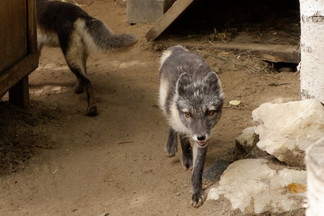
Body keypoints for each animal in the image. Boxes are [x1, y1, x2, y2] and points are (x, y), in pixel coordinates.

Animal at [158, 45, 224, 208]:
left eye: (210, 112)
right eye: (188, 114)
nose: (200, 136)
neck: (196, 82)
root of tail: (178, 49)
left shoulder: (204, 140)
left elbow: (198, 168)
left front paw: (196, 192)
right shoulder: (181, 123)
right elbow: (182, 138)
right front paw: (187, 156)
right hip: (164, 103)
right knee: (171, 123)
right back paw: (171, 145)